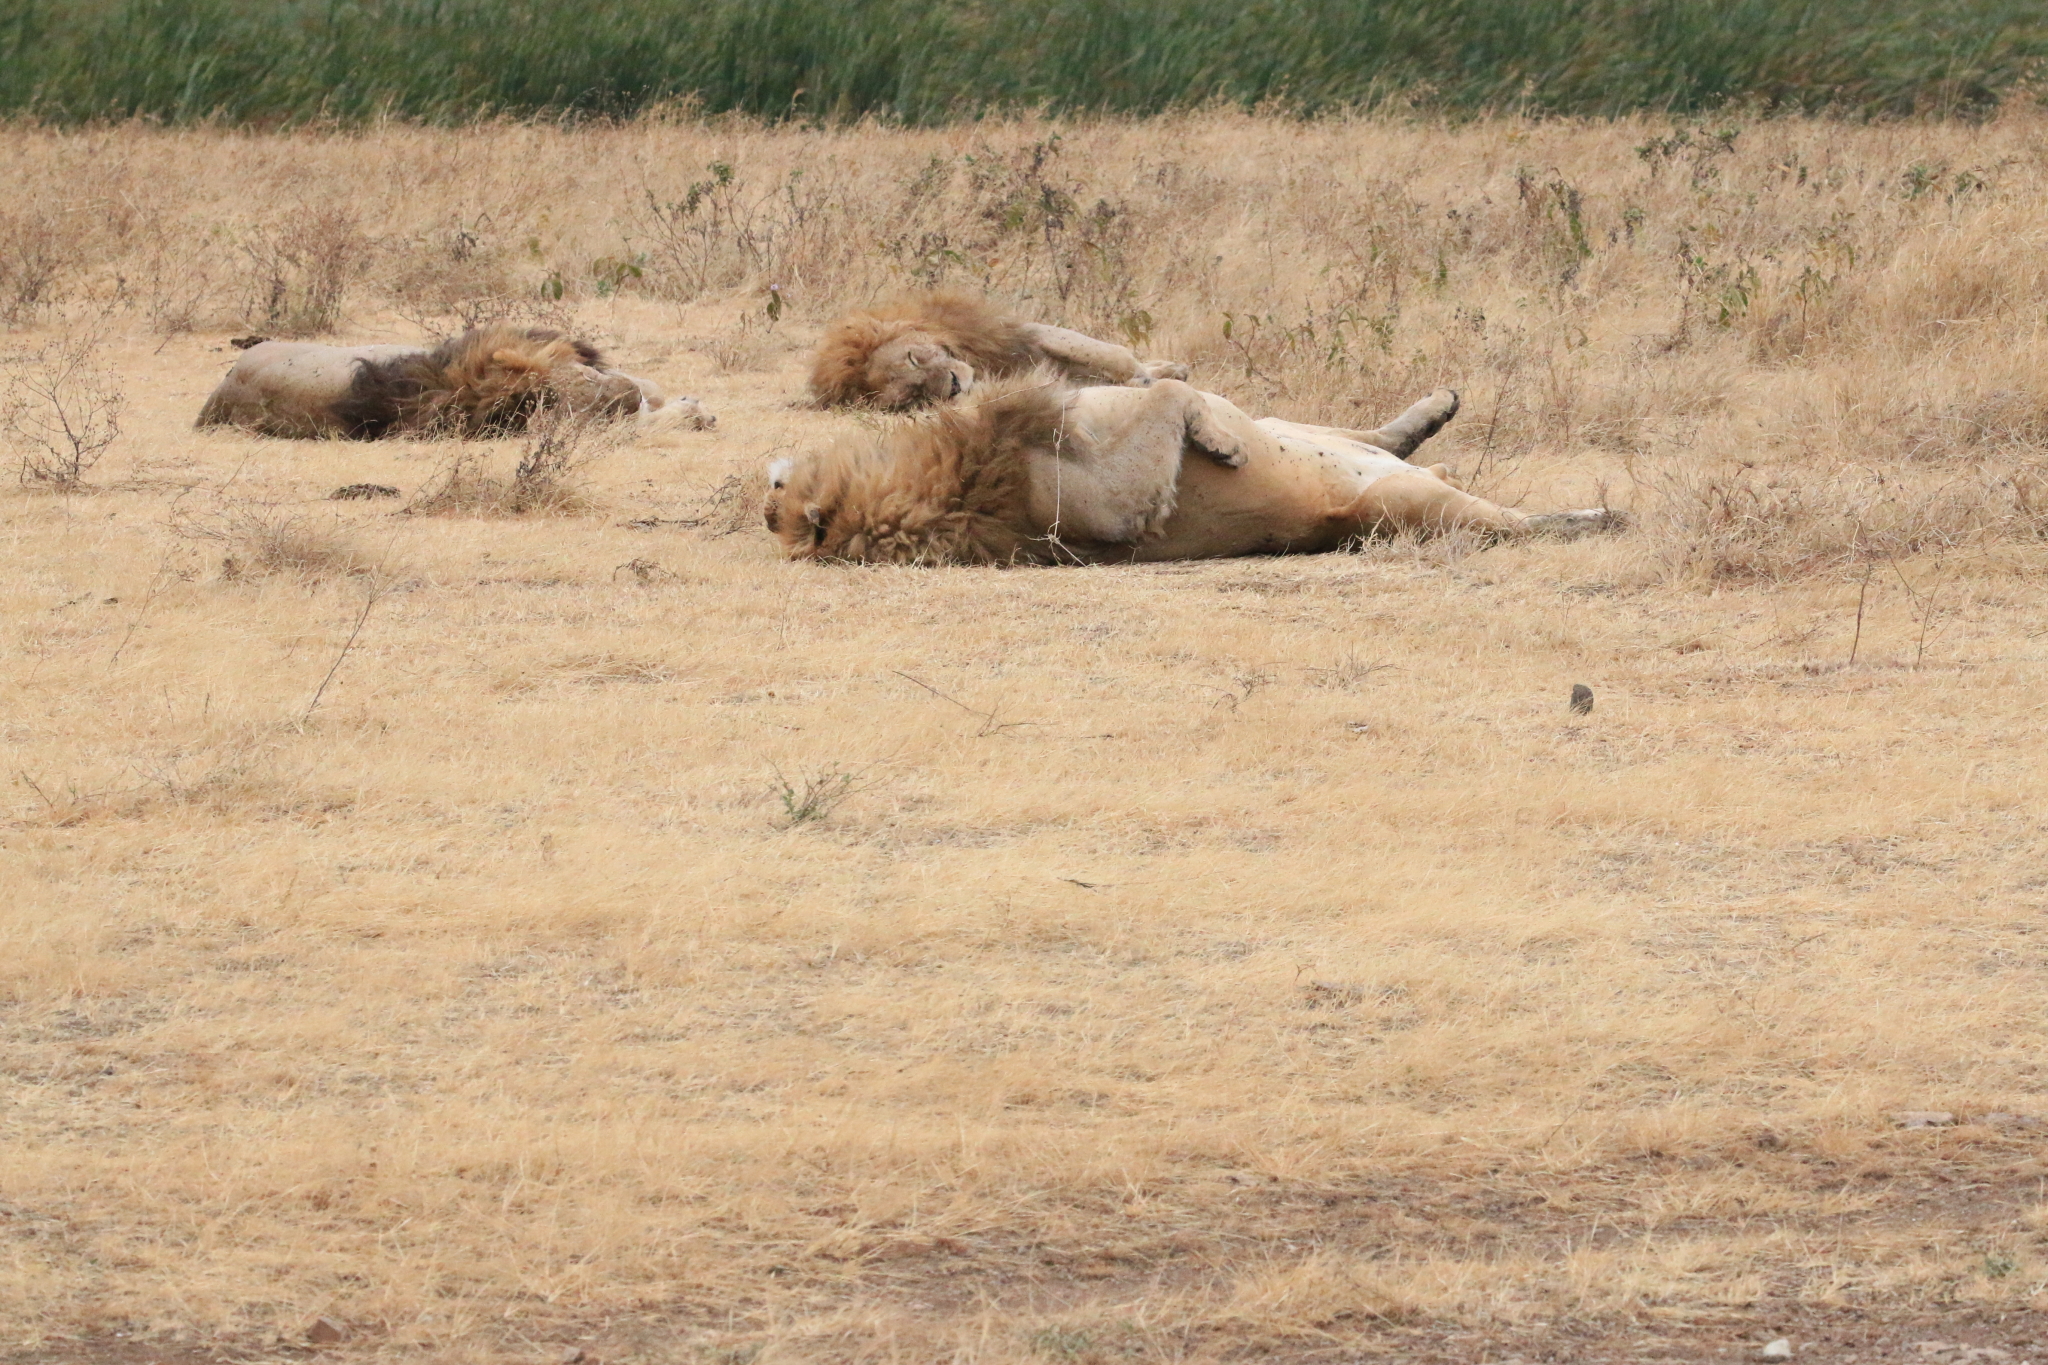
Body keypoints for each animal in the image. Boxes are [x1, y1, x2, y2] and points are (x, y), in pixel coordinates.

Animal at [798, 290, 1187, 409]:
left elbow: (1112, 354)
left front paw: (1149, 379)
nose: (954, 385)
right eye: (912, 396)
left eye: (913, 358)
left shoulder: (1027, 335)